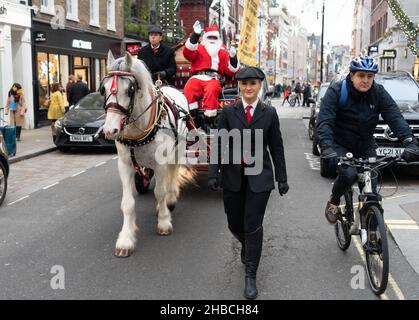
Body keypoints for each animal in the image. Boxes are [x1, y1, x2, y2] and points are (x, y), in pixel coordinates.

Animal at [102, 52, 194, 258]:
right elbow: (127, 203)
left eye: (130, 89)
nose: (110, 130)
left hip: (179, 148)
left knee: (172, 174)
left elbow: (159, 192)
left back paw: (170, 200)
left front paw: (164, 222)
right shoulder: (125, 165)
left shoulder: (160, 163)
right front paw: (126, 240)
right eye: (103, 89)